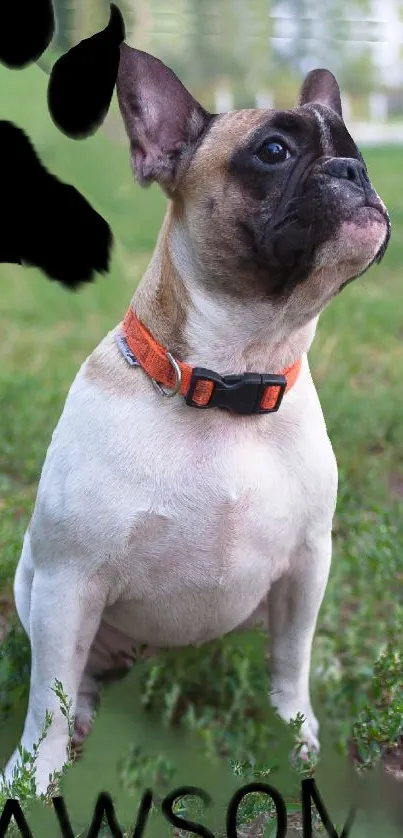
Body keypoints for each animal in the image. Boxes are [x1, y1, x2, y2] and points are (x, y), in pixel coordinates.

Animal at [1, 42, 390, 796]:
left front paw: (296, 732)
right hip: (37, 590)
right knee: (73, 676)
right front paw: (32, 776)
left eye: (353, 149)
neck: (232, 379)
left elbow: (290, 659)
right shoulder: (68, 581)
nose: (354, 171)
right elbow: (47, 697)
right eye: (273, 151)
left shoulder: (306, 563)